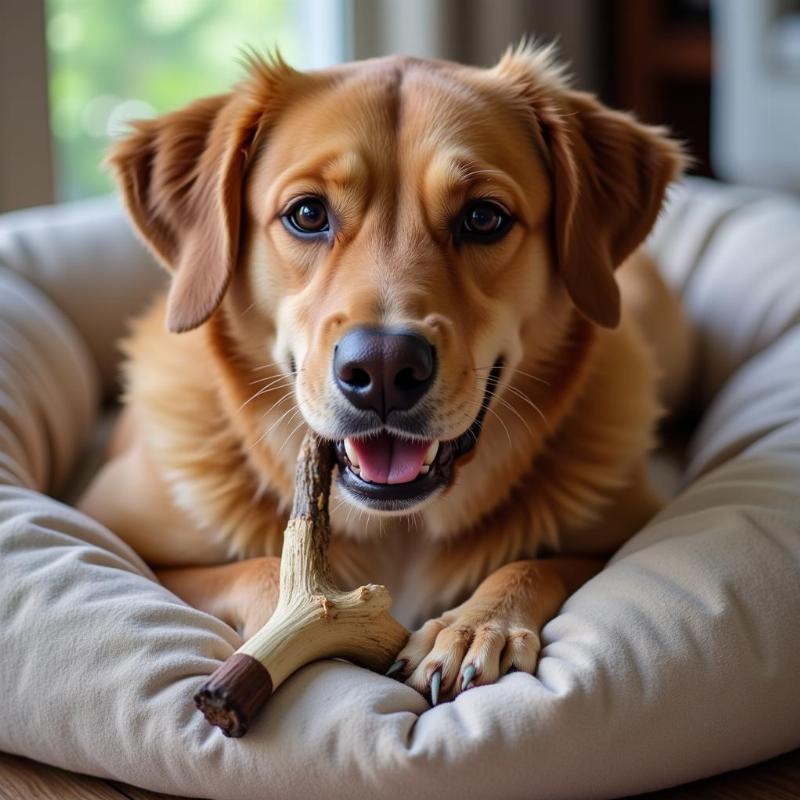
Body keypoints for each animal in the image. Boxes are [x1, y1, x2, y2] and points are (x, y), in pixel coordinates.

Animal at [79, 43, 688, 704]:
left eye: (484, 218)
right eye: (307, 213)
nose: (384, 367)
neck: (396, 529)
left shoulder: (629, 529)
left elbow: (536, 563)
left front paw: (476, 626)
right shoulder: (107, 529)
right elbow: (252, 567)